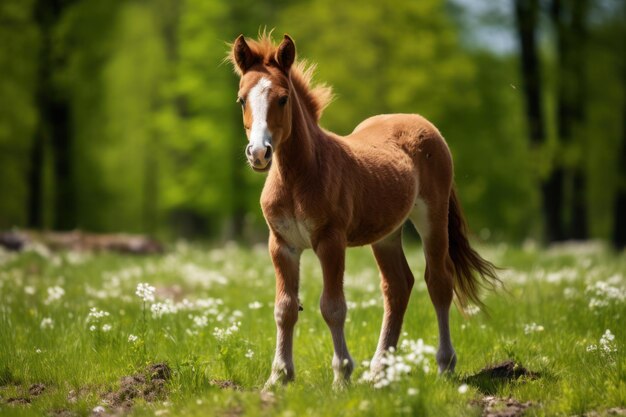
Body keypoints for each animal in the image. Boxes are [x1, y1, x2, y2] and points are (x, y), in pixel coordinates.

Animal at [227, 34, 494, 388]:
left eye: (283, 99)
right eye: (242, 100)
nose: (259, 153)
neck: (298, 176)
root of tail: (421, 122)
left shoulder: (331, 241)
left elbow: (332, 307)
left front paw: (342, 376)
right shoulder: (281, 244)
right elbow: (284, 308)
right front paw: (279, 377)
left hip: (432, 218)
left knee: (438, 280)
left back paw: (444, 365)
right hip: (386, 234)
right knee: (398, 287)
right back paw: (380, 370)